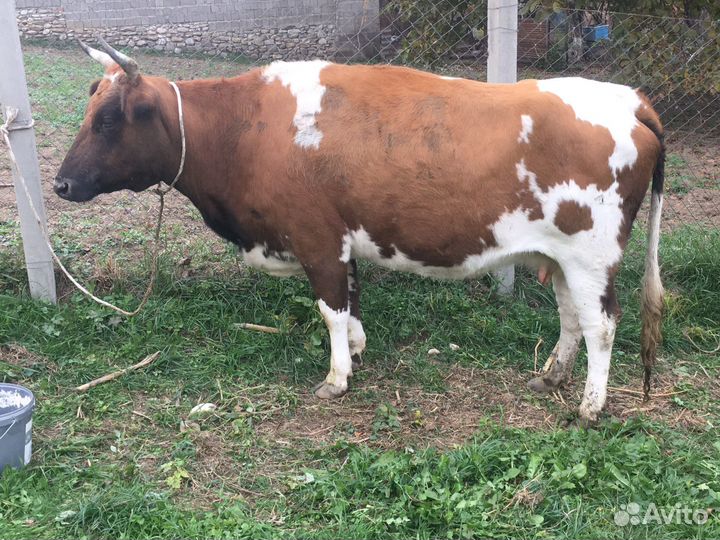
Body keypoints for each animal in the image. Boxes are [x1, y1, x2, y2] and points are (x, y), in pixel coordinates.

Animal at [55, 40, 665, 425]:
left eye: (107, 120)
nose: (60, 184)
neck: (243, 129)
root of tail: (629, 98)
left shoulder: (317, 239)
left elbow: (330, 307)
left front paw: (337, 376)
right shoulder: (342, 242)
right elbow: (349, 301)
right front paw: (356, 347)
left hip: (591, 257)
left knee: (601, 325)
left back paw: (590, 406)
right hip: (560, 257)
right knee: (570, 317)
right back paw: (552, 378)